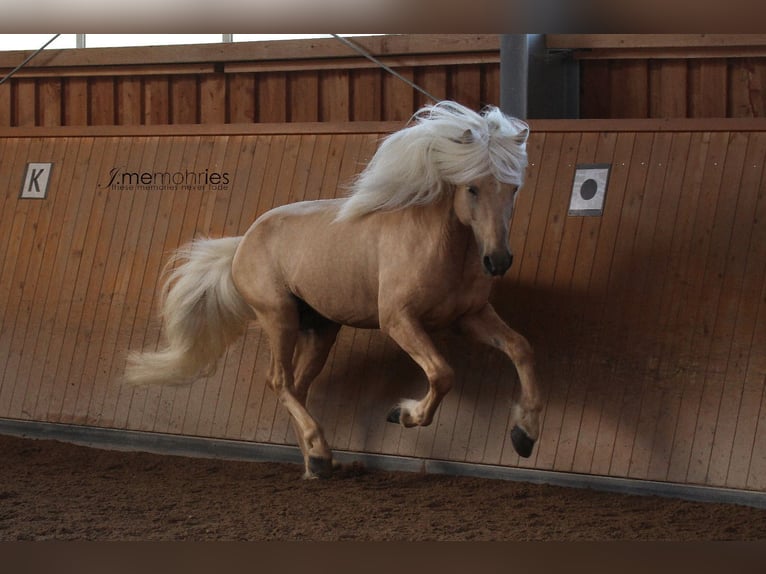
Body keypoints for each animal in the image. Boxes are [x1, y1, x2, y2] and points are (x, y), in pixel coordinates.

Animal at [126, 101, 544, 480]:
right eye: (472, 188)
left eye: (513, 189)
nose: (498, 260)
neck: (438, 244)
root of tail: (243, 242)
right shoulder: (399, 320)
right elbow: (442, 374)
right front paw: (404, 414)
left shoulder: (469, 316)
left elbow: (521, 347)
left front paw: (524, 435)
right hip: (278, 317)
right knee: (279, 381)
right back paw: (319, 453)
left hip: (321, 329)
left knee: (297, 387)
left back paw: (316, 462)